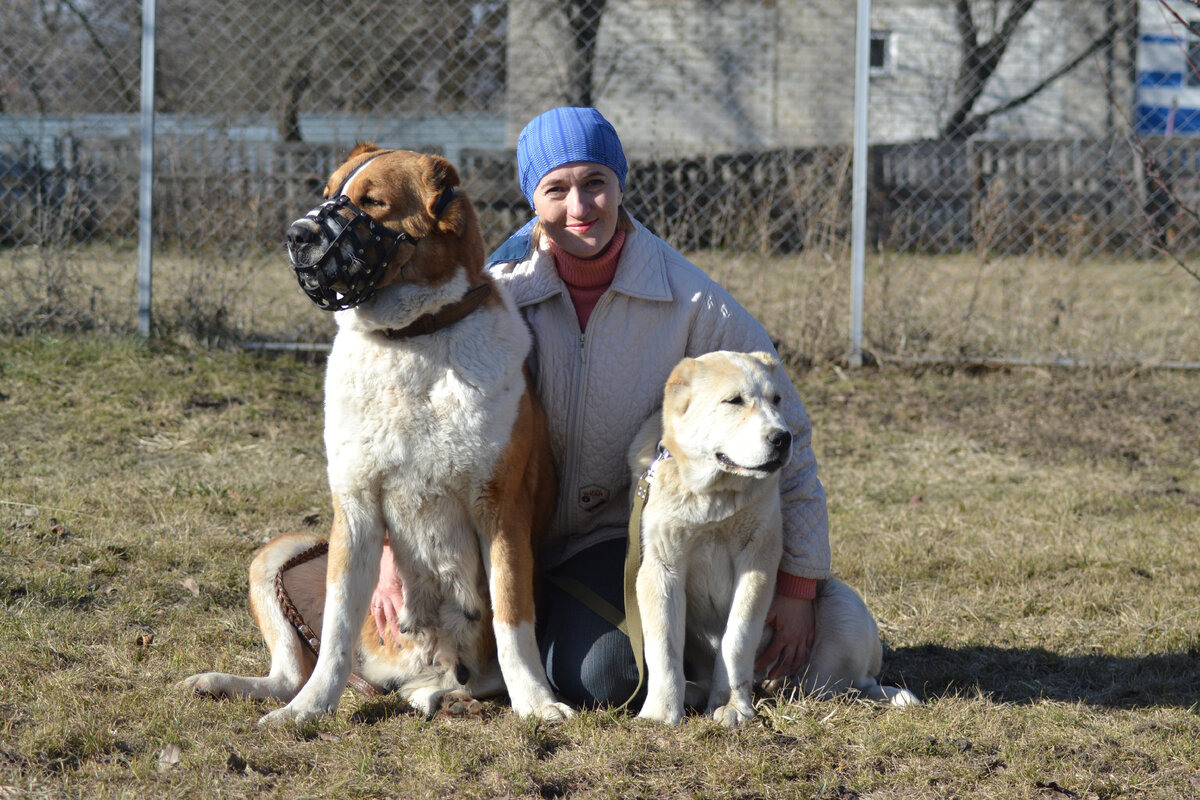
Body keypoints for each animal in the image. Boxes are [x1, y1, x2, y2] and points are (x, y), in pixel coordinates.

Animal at [180, 143, 568, 724]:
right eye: (328, 193)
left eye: (373, 202)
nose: (296, 234)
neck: (408, 338)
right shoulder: (356, 510)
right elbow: (338, 629)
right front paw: (310, 711)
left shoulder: (502, 512)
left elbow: (511, 619)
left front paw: (537, 703)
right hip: (278, 551)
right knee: (289, 674)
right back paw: (228, 686)